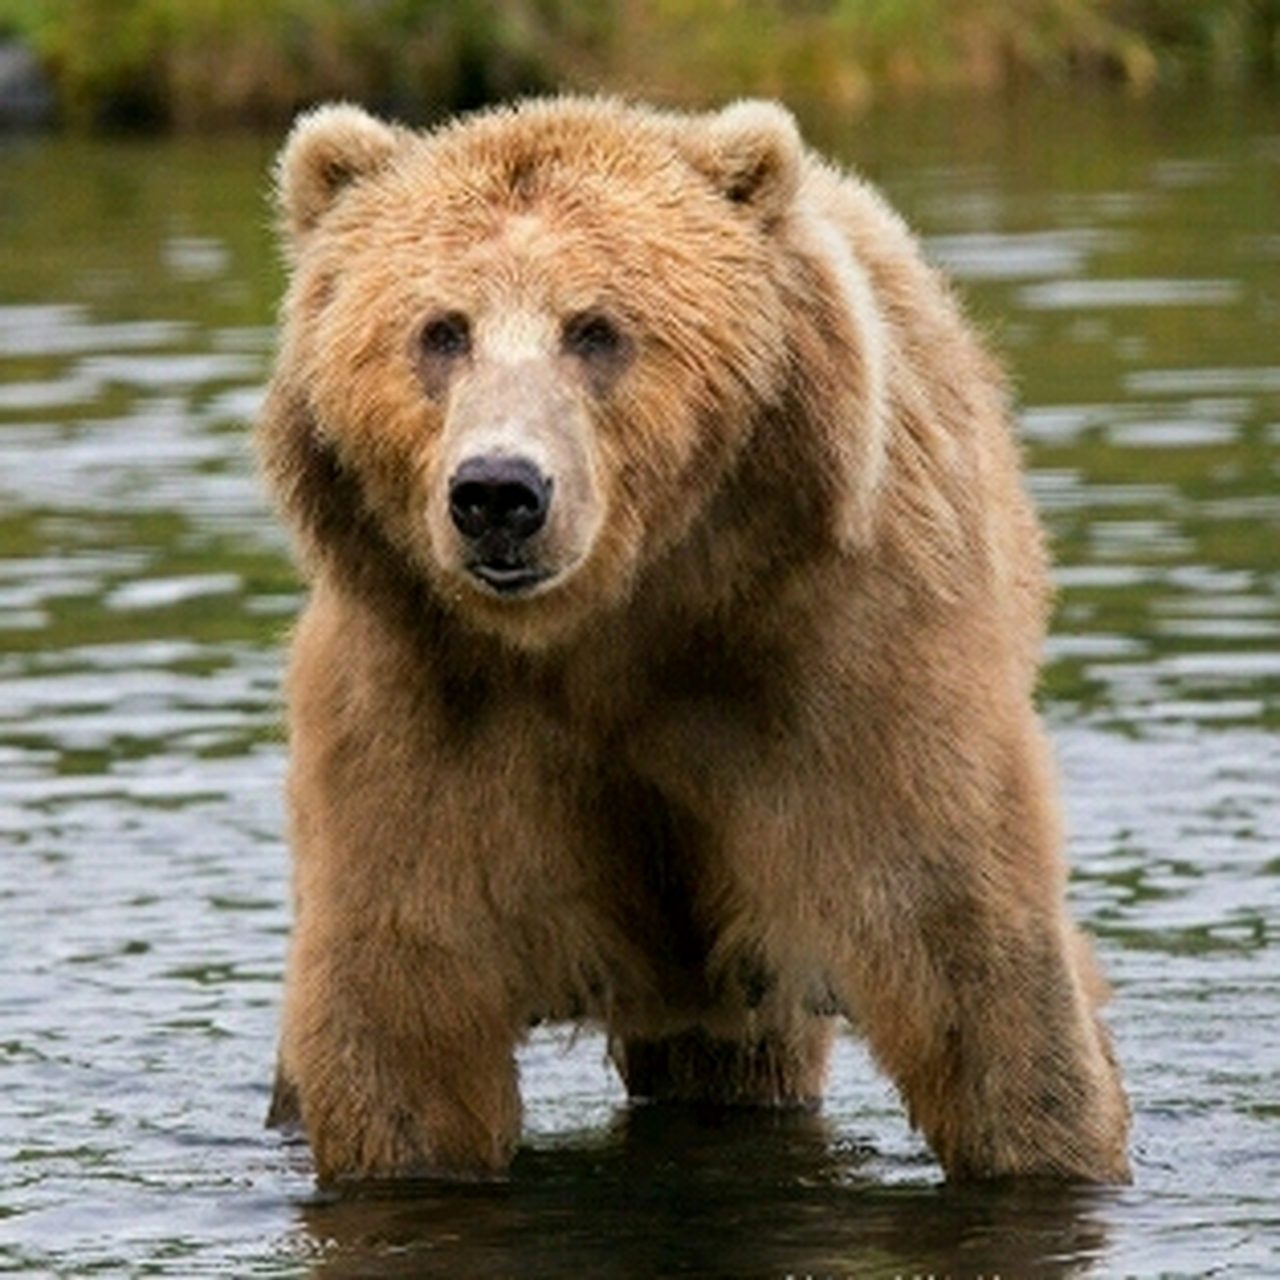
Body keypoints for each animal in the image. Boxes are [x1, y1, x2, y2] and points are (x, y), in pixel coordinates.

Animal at [259, 94, 1131, 1182]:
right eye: (440, 330)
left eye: (595, 329)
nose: (498, 492)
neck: (616, 626)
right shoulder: (428, 703)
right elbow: (404, 1007)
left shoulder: (842, 670)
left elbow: (967, 955)